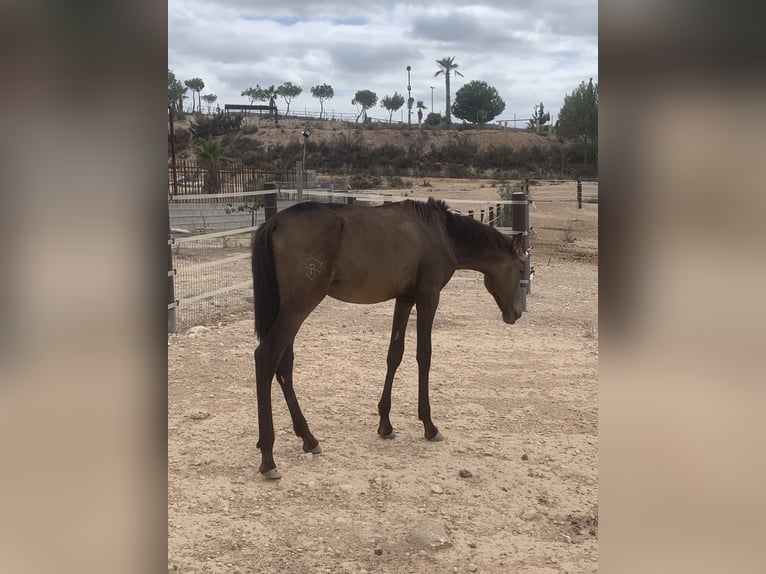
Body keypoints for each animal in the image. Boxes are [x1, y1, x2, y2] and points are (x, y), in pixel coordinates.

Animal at [252, 198, 528, 482]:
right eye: (521, 268)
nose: (516, 313)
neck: (440, 233)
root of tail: (275, 222)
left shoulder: (405, 298)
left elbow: (395, 354)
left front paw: (385, 424)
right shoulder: (428, 297)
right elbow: (424, 355)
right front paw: (429, 425)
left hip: (288, 309)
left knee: (284, 365)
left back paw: (308, 438)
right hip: (298, 306)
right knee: (266, 358)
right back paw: (268, 458)